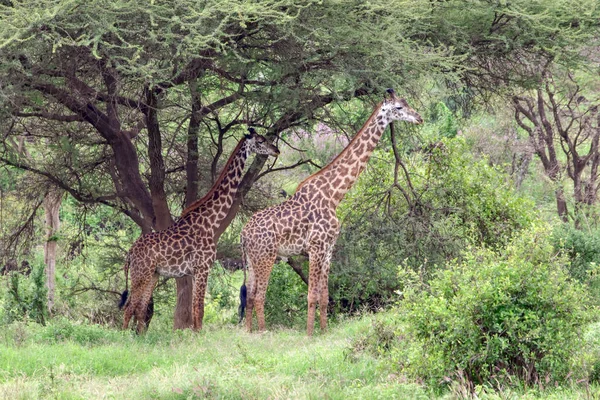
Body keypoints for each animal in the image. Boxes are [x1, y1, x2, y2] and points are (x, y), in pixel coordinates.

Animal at [123, 129, 282, 334]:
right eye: (261, 140)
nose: (276, 150)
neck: (211, 222)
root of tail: (130, 253)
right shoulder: (203, 266)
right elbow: (199, 307)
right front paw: (197, 335)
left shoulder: (194, 270)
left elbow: (195, 307)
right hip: (140, 273)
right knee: (129, 307)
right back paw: (123, 336)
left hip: (153, 274)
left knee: (141, 308)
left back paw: (141, 337)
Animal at [239, 90, 422, 334]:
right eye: (399, 107)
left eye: (407, 102)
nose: (419, 118)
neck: (334, 195)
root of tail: (243, 234)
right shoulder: (315, 247)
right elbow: (311, 296)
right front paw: (309, 335)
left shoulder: (328, 250)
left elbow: (324, 296)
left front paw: (324, 332)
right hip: (266, 256)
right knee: (259, 296)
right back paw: (263, 332)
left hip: (251, 260)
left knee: (250, 295)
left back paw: (249, 333)